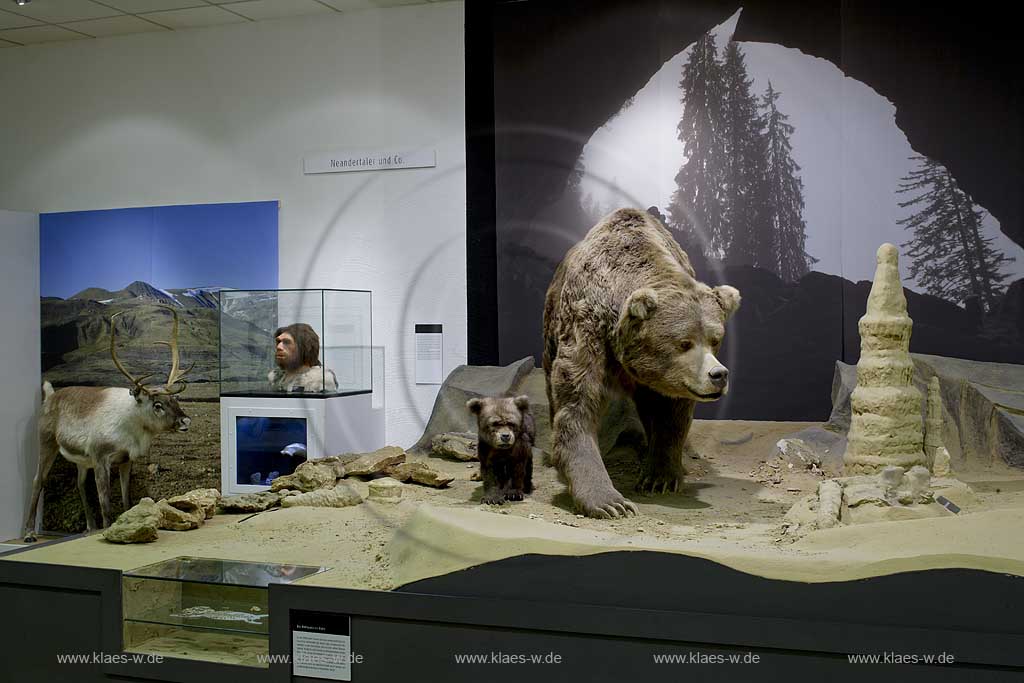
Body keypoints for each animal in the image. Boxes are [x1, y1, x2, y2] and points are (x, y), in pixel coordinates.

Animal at [544, 206, 745, 518]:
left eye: (715, 339)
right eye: (684, 342)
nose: (718, 375)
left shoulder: (669, 379)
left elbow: (670, 414)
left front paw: (660, 476)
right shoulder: (585, 326)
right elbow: (577, 401)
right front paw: (609, 502)